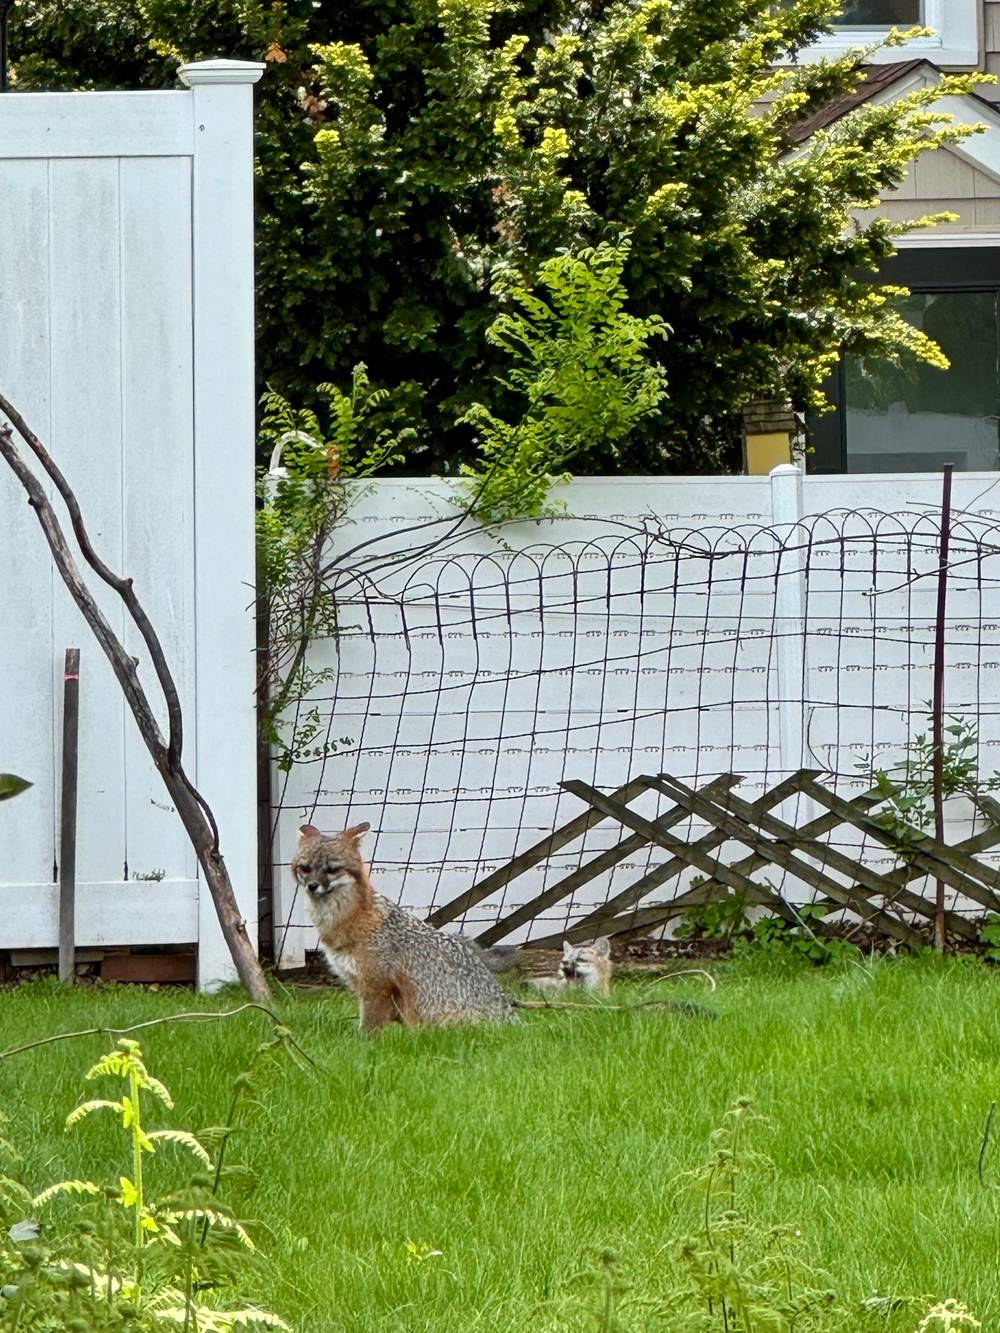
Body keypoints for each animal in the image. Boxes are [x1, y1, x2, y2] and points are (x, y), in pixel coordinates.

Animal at [292, 822, 514, 1033]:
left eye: (332, 869)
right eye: (305, 868)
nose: (312, 886)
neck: (351, 919)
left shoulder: (377, 987)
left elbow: (367, 1031)